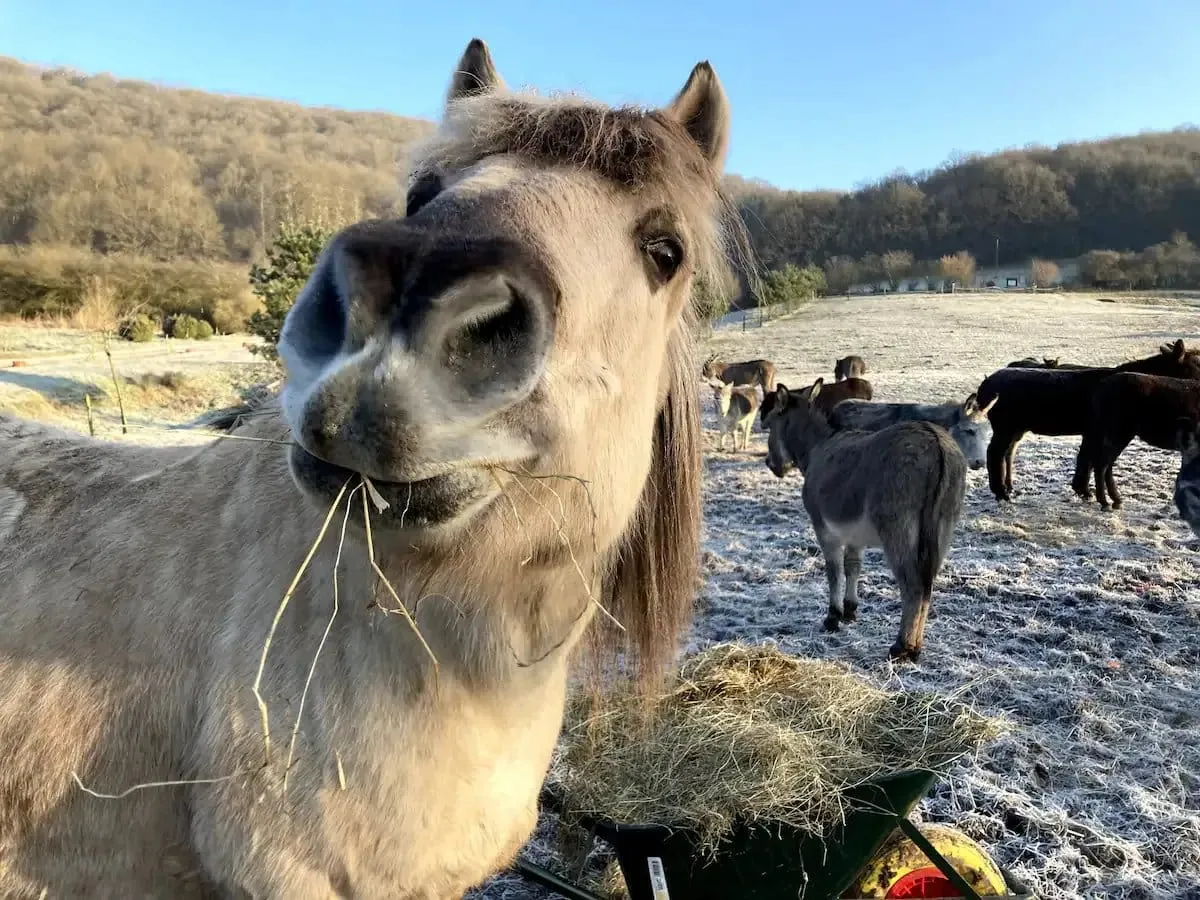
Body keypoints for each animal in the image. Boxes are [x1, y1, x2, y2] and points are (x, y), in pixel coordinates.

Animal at [764, 380, 967, 661]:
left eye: (770, 424)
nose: (770, 464)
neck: (816, 448)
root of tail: (936, 442)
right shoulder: (853, 535)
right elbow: (853, 567)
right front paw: (850, 611)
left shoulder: (824, 530)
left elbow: (834, 572)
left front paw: (832, 617)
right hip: (943, 529)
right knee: (927, 585)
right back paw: (916, 646)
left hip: (898, 530)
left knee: (913, 586)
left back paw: (902, 647)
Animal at [1077, 374, 1200, 510]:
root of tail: (1100, 387)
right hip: (1118, 434)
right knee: (1102, 465)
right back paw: (1105, 502)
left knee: (1104, 464)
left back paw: (1115, 500)